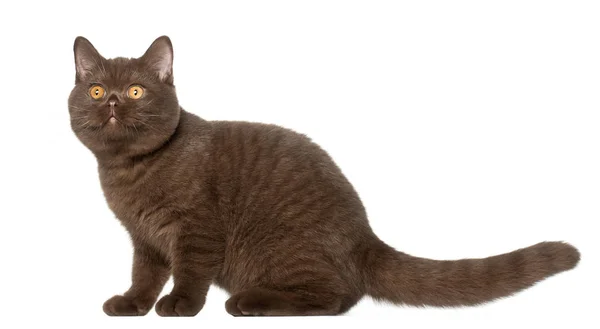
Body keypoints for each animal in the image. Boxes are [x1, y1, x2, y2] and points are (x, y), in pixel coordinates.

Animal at [68, 35, 580, 316]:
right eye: (95, 89)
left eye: (136, 90)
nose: (111, 101)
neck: (129, 171)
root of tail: (364, 237)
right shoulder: (146, 239)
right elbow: (145, 274)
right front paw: (132, 304)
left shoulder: (197, 231)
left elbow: (189, 272)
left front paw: (181, 307)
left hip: (277, 246)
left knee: (335, 298)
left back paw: (249, 303)